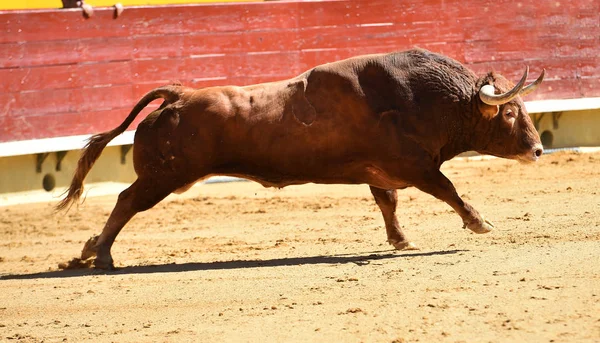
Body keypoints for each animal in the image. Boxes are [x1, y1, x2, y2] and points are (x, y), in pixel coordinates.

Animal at [58, 48, 548, 270]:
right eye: (509, 112)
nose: (538, 150)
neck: (421, 99)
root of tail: (178, 95)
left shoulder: (381, 171)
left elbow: (387, 202)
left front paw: (401, 239)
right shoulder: (416, 166)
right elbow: (448, 190)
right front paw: (479, 222)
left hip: (168, 177)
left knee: (125, 202)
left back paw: (87, 250)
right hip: (164, 177)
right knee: (125, 202)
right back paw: (102, 256)